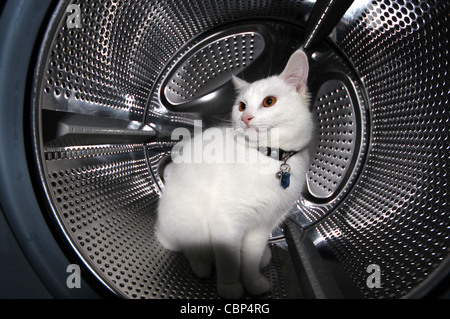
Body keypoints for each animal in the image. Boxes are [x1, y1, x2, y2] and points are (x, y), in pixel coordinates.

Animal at [156, 48, 312, 298]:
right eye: (241, 106)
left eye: (269, 101)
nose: (245, 118)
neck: (268, 158)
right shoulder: (227, 219)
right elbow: (229, 259)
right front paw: (230, 286)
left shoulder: (262, 226)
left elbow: (249, 258)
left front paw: (253, 281)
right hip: (191, 222)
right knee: (186, 247)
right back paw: (201, 264)